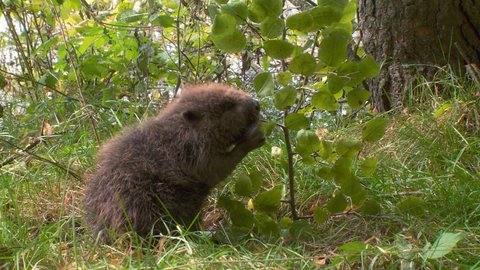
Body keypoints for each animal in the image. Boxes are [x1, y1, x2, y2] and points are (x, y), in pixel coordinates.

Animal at [82, 83, 262, 239]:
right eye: (227, 105)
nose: (256, 104)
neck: (178, 131)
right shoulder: (192, 153)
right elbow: (215, 169)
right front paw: (254, 136)